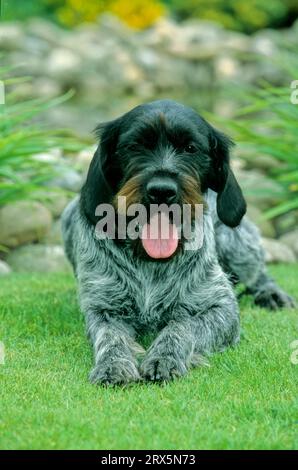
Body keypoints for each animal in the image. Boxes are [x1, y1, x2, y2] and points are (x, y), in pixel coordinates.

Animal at [61, 99, 294, 386]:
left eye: (191, 148)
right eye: (135, 146)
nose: (162, 191)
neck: (151, 259)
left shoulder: (222, 308)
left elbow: (182, 326)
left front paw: (165, 357)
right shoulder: (103, 308)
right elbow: (111, 336)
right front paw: (113, 364)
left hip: (236, 239)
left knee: (258, 272)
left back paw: (271, 294)